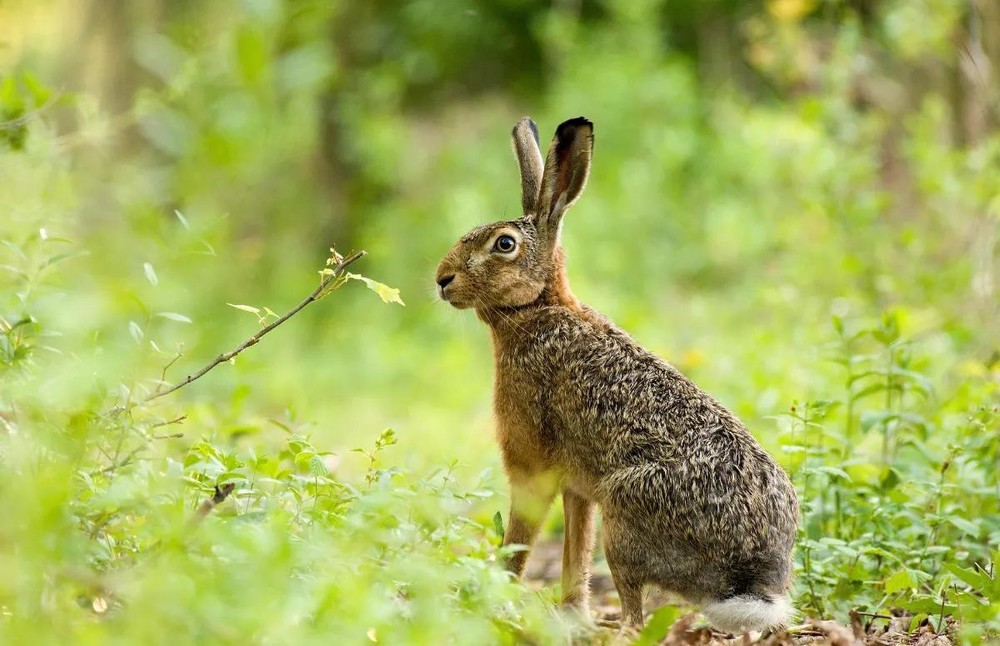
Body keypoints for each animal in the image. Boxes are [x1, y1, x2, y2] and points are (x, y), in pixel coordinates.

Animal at [434, 116, 799, 634]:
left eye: (504, 244)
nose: (441, 279)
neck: (536, 308)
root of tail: (749, 577)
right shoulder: (576, 487)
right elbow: (575, 552)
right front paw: (571, 616)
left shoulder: (533, 466)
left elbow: (520, 539)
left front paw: (491, 599)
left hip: (624, 516)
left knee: (635, 613)